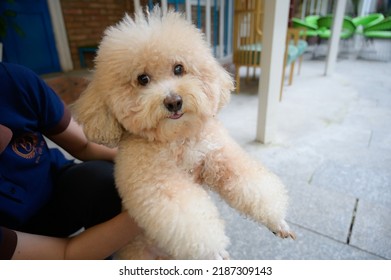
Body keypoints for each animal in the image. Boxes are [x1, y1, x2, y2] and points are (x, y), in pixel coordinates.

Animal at [72, 7, 294, 260]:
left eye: (179, 68)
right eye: (142, 79)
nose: (173, 102)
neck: (179, 138)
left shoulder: (220, 154)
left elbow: (252, 184)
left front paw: (277, 220)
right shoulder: (160, 184)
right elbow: (192, 222)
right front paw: (214, 252)